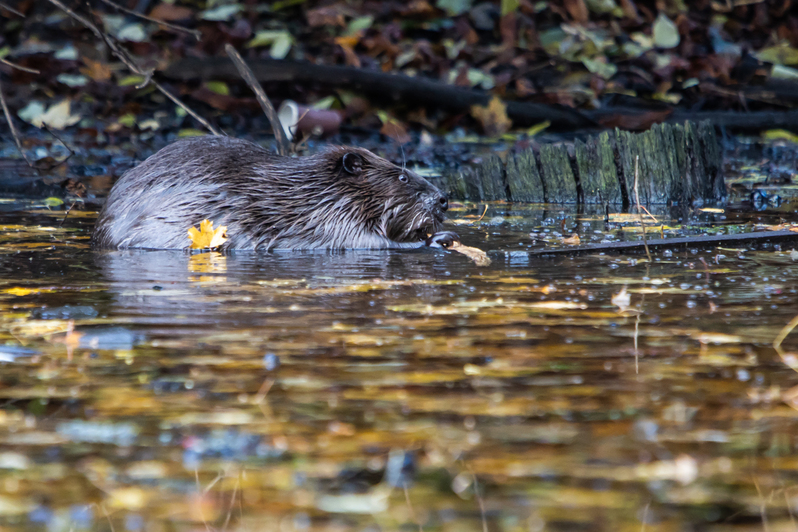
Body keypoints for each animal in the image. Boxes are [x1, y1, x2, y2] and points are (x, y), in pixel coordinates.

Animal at [90, 134, 456, 250]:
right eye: (403, 177)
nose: (443, 200)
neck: (315, 189)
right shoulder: (329, 218)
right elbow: (370, 243)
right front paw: (437, 239)